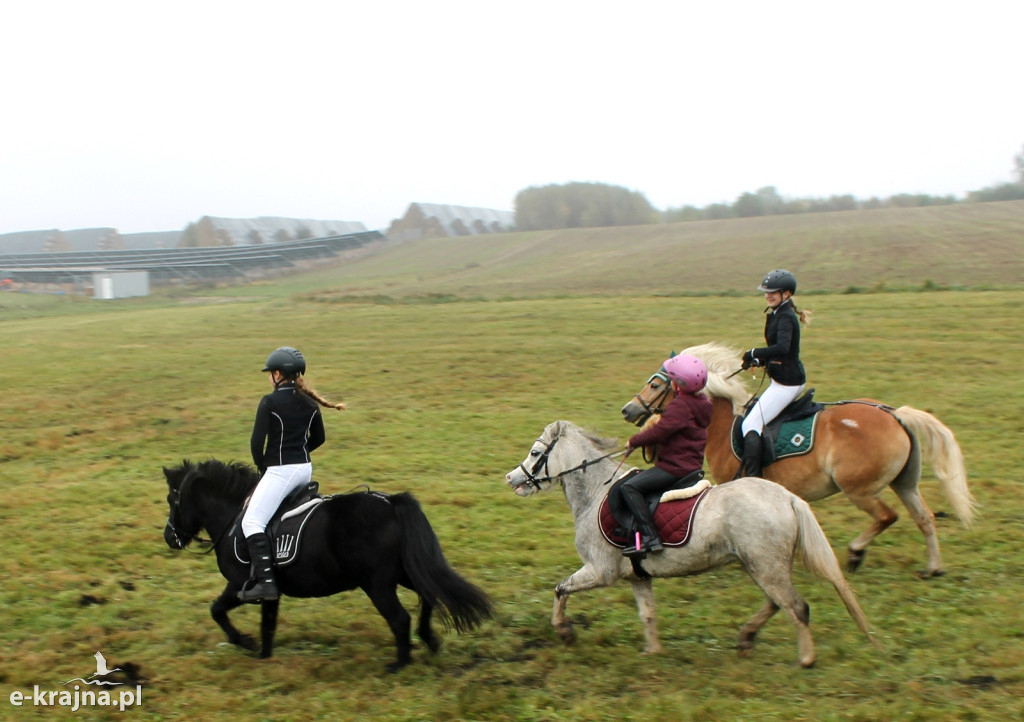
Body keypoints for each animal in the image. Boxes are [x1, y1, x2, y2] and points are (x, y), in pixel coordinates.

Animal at [161, 458, 493, 671]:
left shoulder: (239, 584)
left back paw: (399, 664)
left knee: (400, 619)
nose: (169, 537)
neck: (234, 516)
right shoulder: (271, 591)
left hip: (378, 584)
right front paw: (264, 657)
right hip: (401, 573)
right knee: (428, 595)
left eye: (170, 499)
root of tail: (389, 502)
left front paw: (244, 642)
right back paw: (429, 640)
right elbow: (268, 625)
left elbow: (217, 610)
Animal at [503, 419, 880, 667]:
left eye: (536, 452)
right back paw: (747, 637)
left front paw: (564, 632)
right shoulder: (636, 577)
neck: (596, 493)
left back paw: (806, 658)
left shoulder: (600, 570)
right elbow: (648, 614)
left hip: (765, 567)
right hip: (761, 566)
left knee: (796, 607)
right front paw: (653, 652)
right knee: (777, 604)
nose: (511, 478)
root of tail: (787, 497)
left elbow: (560, 589)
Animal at [614, 340, 974, 577]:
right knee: (924, 518)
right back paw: (933, 568)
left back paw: (856, 554)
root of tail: (894, 414)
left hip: (860, 489)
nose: (627, 410)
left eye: (655, 384)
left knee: (888, 516)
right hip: (904, 483)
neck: (721, 423)